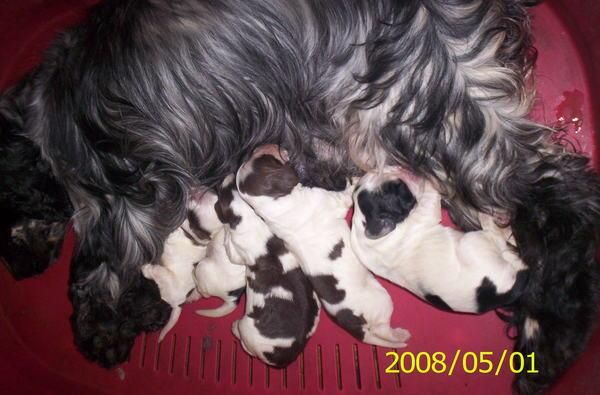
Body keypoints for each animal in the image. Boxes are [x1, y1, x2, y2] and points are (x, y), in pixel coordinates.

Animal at [214, 176, 322, 368]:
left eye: (221, 192)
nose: (227, 175)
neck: (251, 217)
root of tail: (282, 357)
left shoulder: (238, 252)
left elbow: (230, 246)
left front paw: (226, 231)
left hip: (247, 327)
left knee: (245, 342)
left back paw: (234, 327)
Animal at [237, 146, 410, 350]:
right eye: (265, 158)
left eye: (255, 155)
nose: (261, 145)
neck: (272, 206)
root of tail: (355, 326)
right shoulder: (336, 200)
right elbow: (349, 189)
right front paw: (358, 177)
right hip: (383, 300)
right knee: (383, 329)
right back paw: (400, 335)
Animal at [352, 170, 528, 316]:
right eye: (396, 188)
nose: (398, 168)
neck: (364, 226)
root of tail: (507, 293)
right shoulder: (425, 212)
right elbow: (429, 195)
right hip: (472, 242)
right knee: (495, 236)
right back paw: (487, 217)